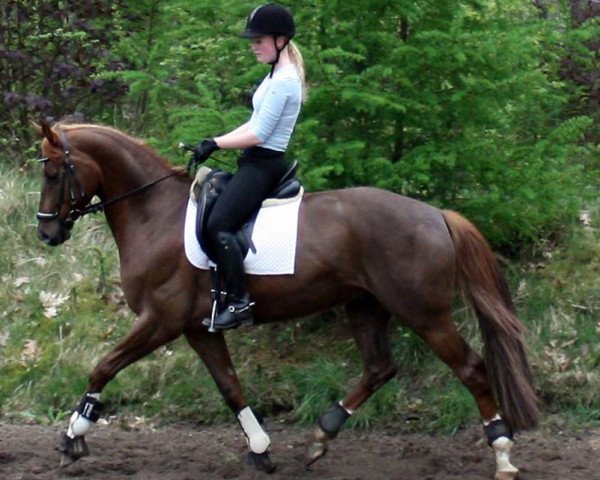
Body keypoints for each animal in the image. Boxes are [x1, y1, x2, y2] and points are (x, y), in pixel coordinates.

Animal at [34, 119, 540, 476]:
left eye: (54, 173)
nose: (47, 233)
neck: (153, 215)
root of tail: (436, 215)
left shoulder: (161, 319)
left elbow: (104, 366)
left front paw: (73, 437)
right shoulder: (199, 328)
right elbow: (230, 386)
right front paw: (260, 450)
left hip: (424, 313)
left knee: (470, 368)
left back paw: (502, 452)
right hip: (365, 306)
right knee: (379, 368)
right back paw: (322, 436)